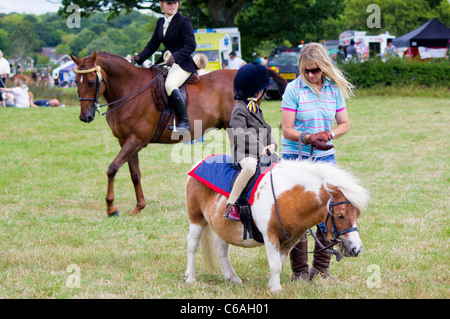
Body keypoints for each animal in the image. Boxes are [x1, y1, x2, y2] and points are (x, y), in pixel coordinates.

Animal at [70, 50, 288, 218]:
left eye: (91, 82)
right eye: (76, 82)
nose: (85, 117)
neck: (128, 89)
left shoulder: (136, 140)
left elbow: (112, 168)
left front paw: (111, 208)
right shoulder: (126, 141)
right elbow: (135, 174)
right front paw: (138, 207)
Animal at [184, 161, 370, 294]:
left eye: (358, 213)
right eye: (340, 215)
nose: (356, 248)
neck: (288, 197)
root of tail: (197, 164)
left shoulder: (290, 240)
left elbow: (279, 264)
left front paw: (272, 284)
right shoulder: (270, 236)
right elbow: (274, 264)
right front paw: (276, 289)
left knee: (221, 249)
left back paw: (232, 277)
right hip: (197, 219)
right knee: (192, 246)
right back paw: (190, 277)